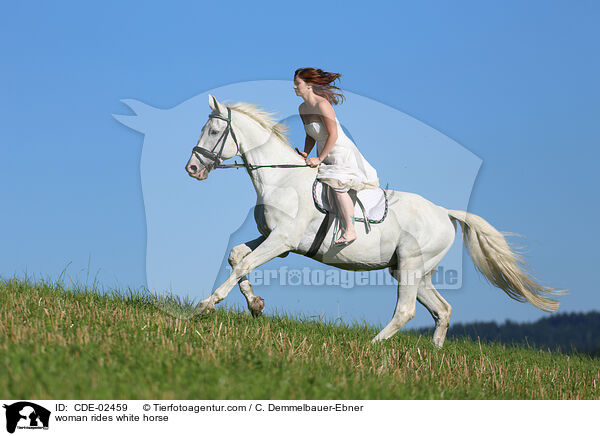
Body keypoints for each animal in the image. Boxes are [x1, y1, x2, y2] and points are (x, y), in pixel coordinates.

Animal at [185, 94, 564, 348]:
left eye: (214, 130)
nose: (192, 168)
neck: (280, 178)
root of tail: (444, 212)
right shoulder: (274, 240)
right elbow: (238, 256)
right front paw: (256, 305)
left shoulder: (282, 240)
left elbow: (242, 264)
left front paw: (206, 306)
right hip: (414, 270)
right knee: (442, 310)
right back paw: (434, 355)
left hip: (411, 265)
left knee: (407, 311)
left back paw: (373, 346)